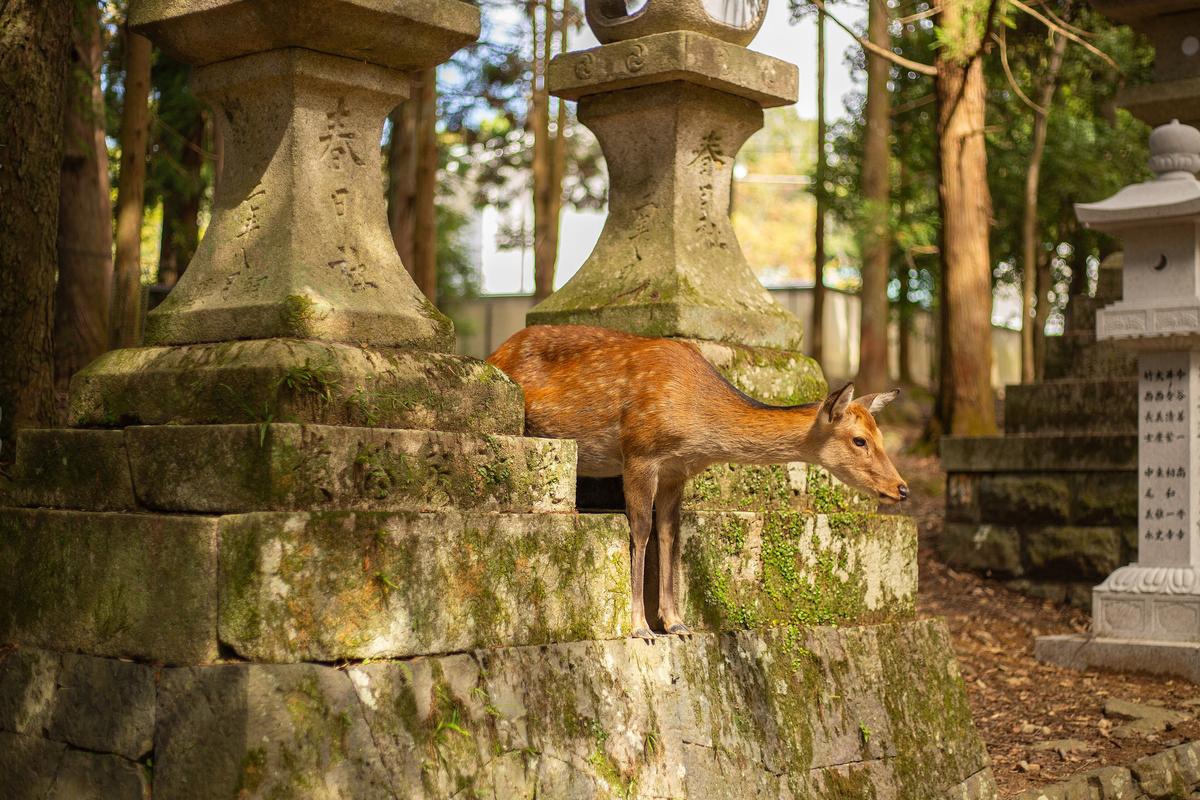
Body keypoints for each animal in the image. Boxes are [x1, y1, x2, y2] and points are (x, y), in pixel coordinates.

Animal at [487, 324, 908, 641]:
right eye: (860, 440)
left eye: (881, 435)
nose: (902, 488)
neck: (697, 428)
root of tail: (494, 354)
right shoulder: (640, 452)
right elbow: (640, 529)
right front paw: (640, 627)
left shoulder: (678, 471)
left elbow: (669, 533)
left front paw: (676, 623)